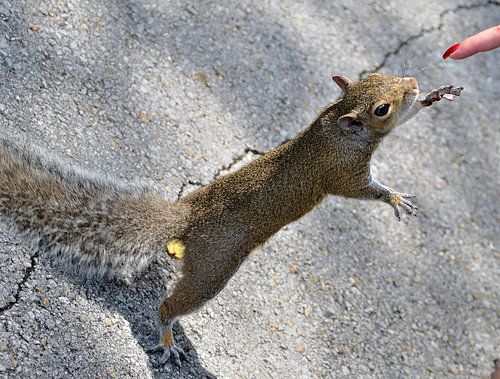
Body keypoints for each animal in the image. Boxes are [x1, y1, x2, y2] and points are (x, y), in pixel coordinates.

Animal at [0, 72, 462, 366]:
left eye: (384, 74)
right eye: (381, 108)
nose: (413, 83)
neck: (338, 124)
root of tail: (187, 216)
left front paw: (434, 96)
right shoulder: (342, 173)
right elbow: (363, 190)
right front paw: (393, 197)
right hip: (214, 268)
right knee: (172, 305)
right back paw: (166, 337)